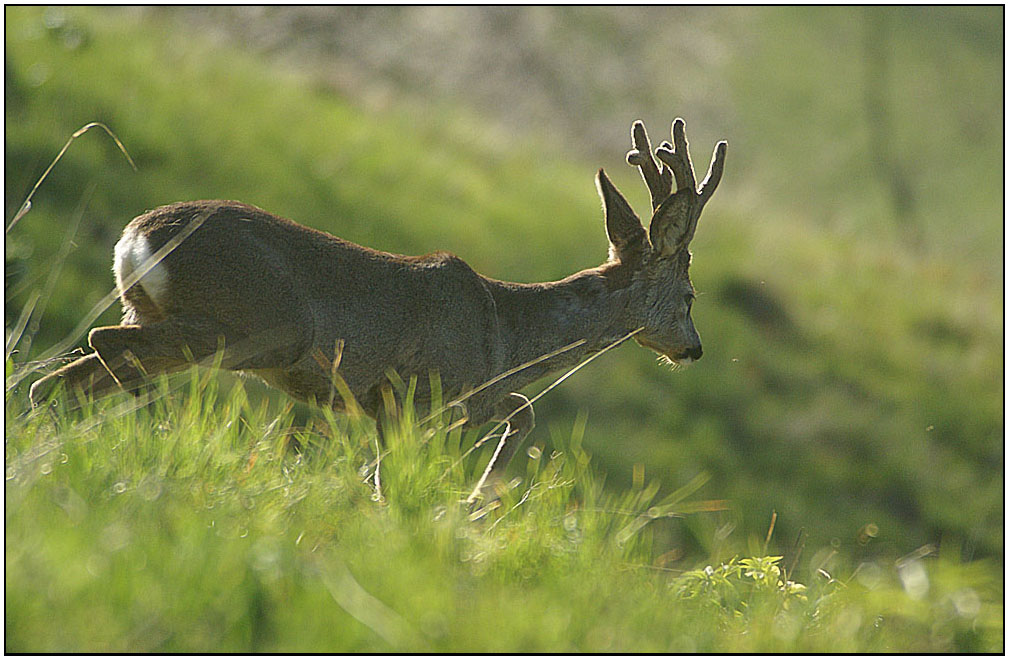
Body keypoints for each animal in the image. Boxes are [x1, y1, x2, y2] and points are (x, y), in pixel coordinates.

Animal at [29, 120, 726, 476]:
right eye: (690, 295)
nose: (694, 350)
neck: (505, 333)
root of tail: (135, 237)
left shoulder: (453, 399)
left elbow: (522, 411)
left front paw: (471, 494)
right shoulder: (415, 394)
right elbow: (406, 472)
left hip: (162, 310)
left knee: (64, 375)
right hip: (255, 325)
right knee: (101, 346)